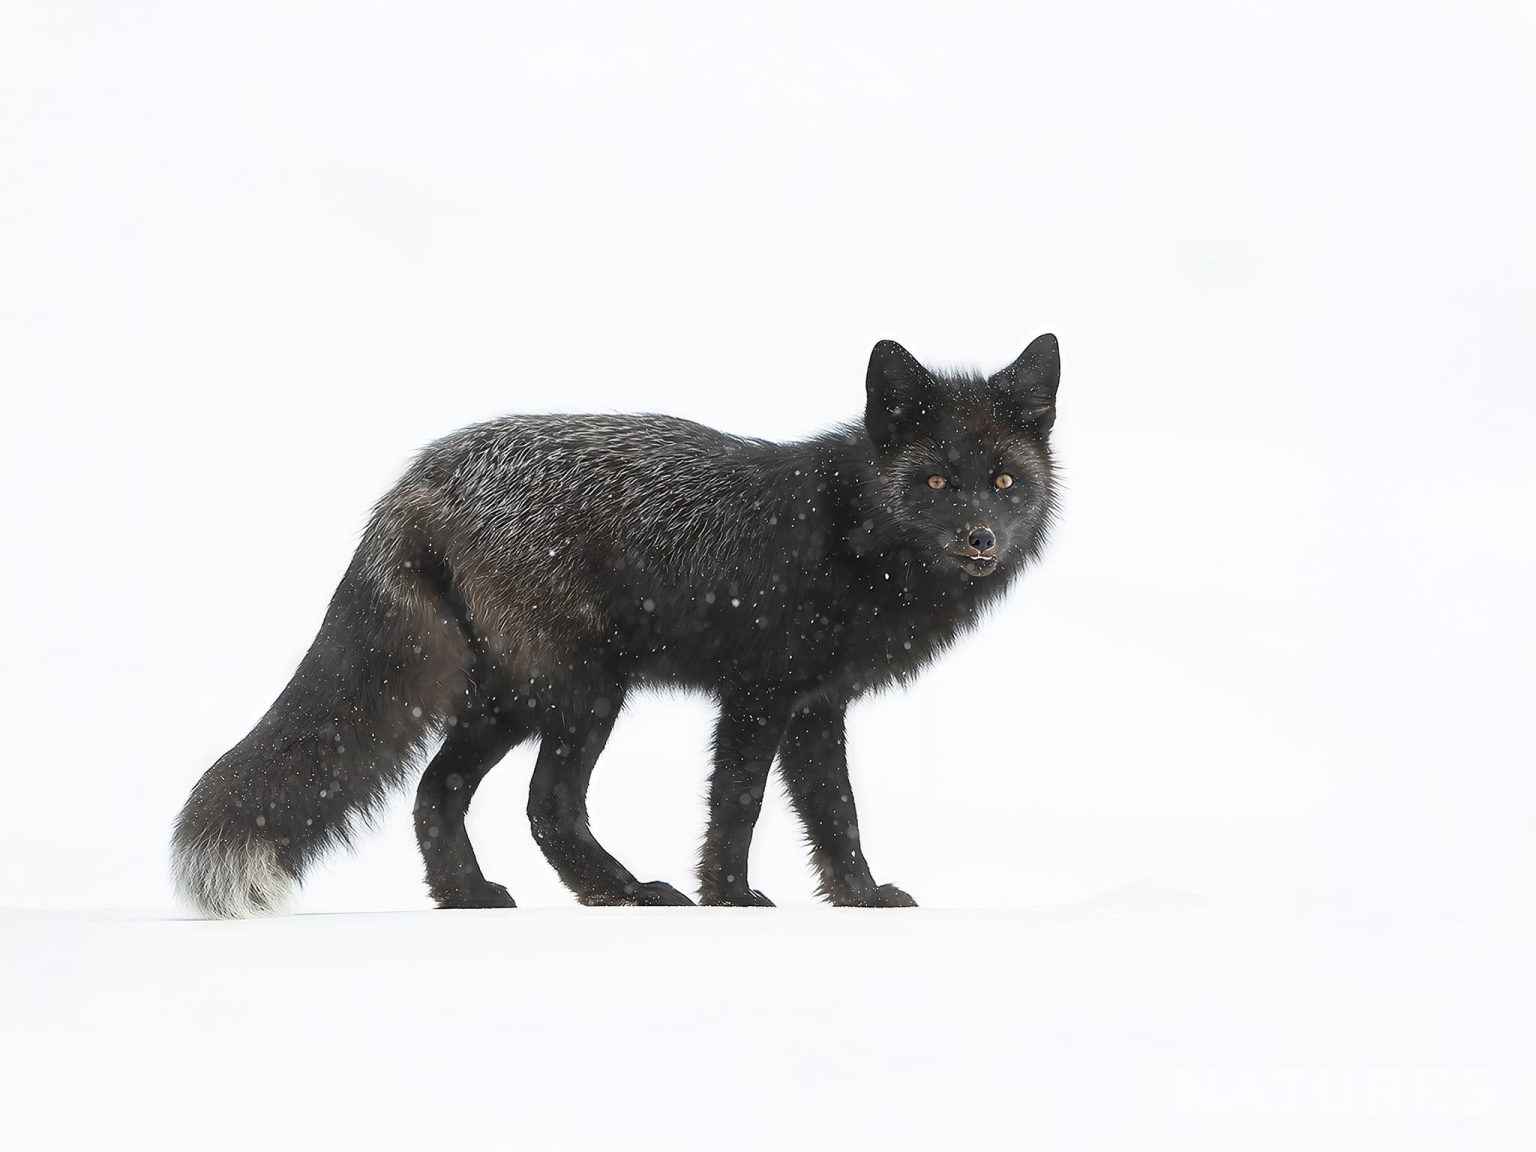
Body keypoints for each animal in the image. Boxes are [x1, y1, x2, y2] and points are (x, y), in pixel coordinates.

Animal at [172, 335, 1062, 917]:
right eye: (937, 482)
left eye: (1003, 481)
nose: (980, 539)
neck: (850, 535)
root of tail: (422, 477)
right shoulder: (760, 695)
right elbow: (738, 806)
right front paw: (731, 898)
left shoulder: (817, 707)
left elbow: (835, 813)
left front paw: (862, 897)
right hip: (584, 691)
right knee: (546, 804)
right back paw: (624, 892)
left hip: (511, 699)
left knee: (436, 791)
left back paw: (469, 897)